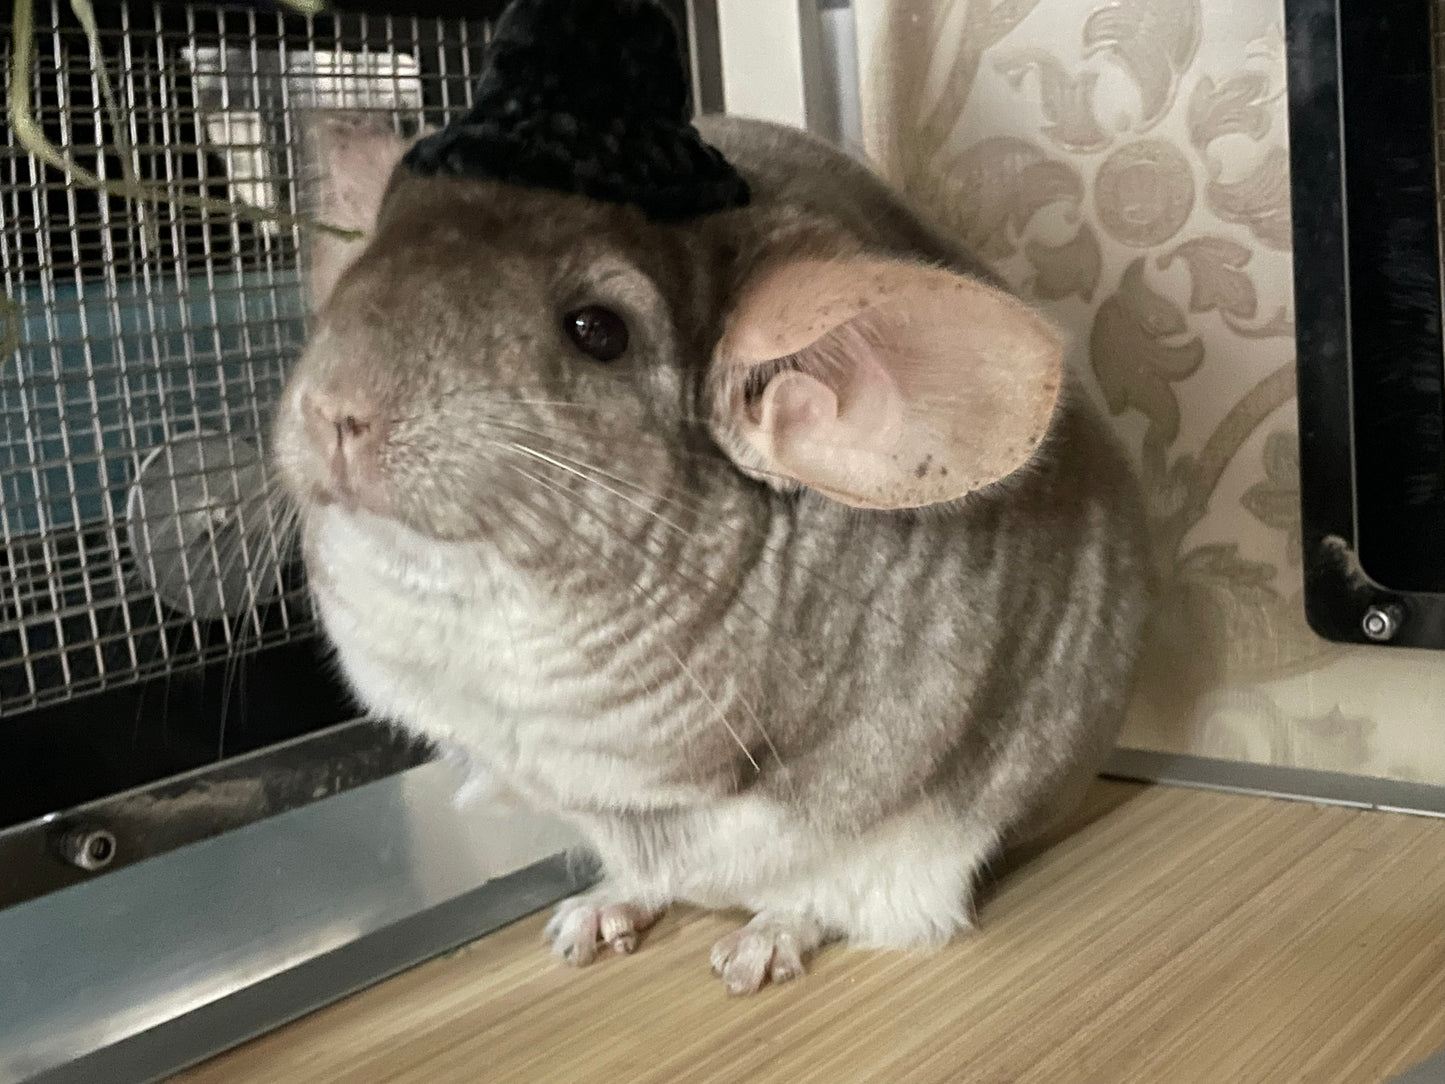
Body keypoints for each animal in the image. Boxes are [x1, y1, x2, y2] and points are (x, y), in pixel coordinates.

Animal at [271, 106, 1152, 996]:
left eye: (598, 331)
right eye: (365, 260)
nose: (336, 411)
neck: (480, 593)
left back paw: (755, 947)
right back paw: (592, 918)